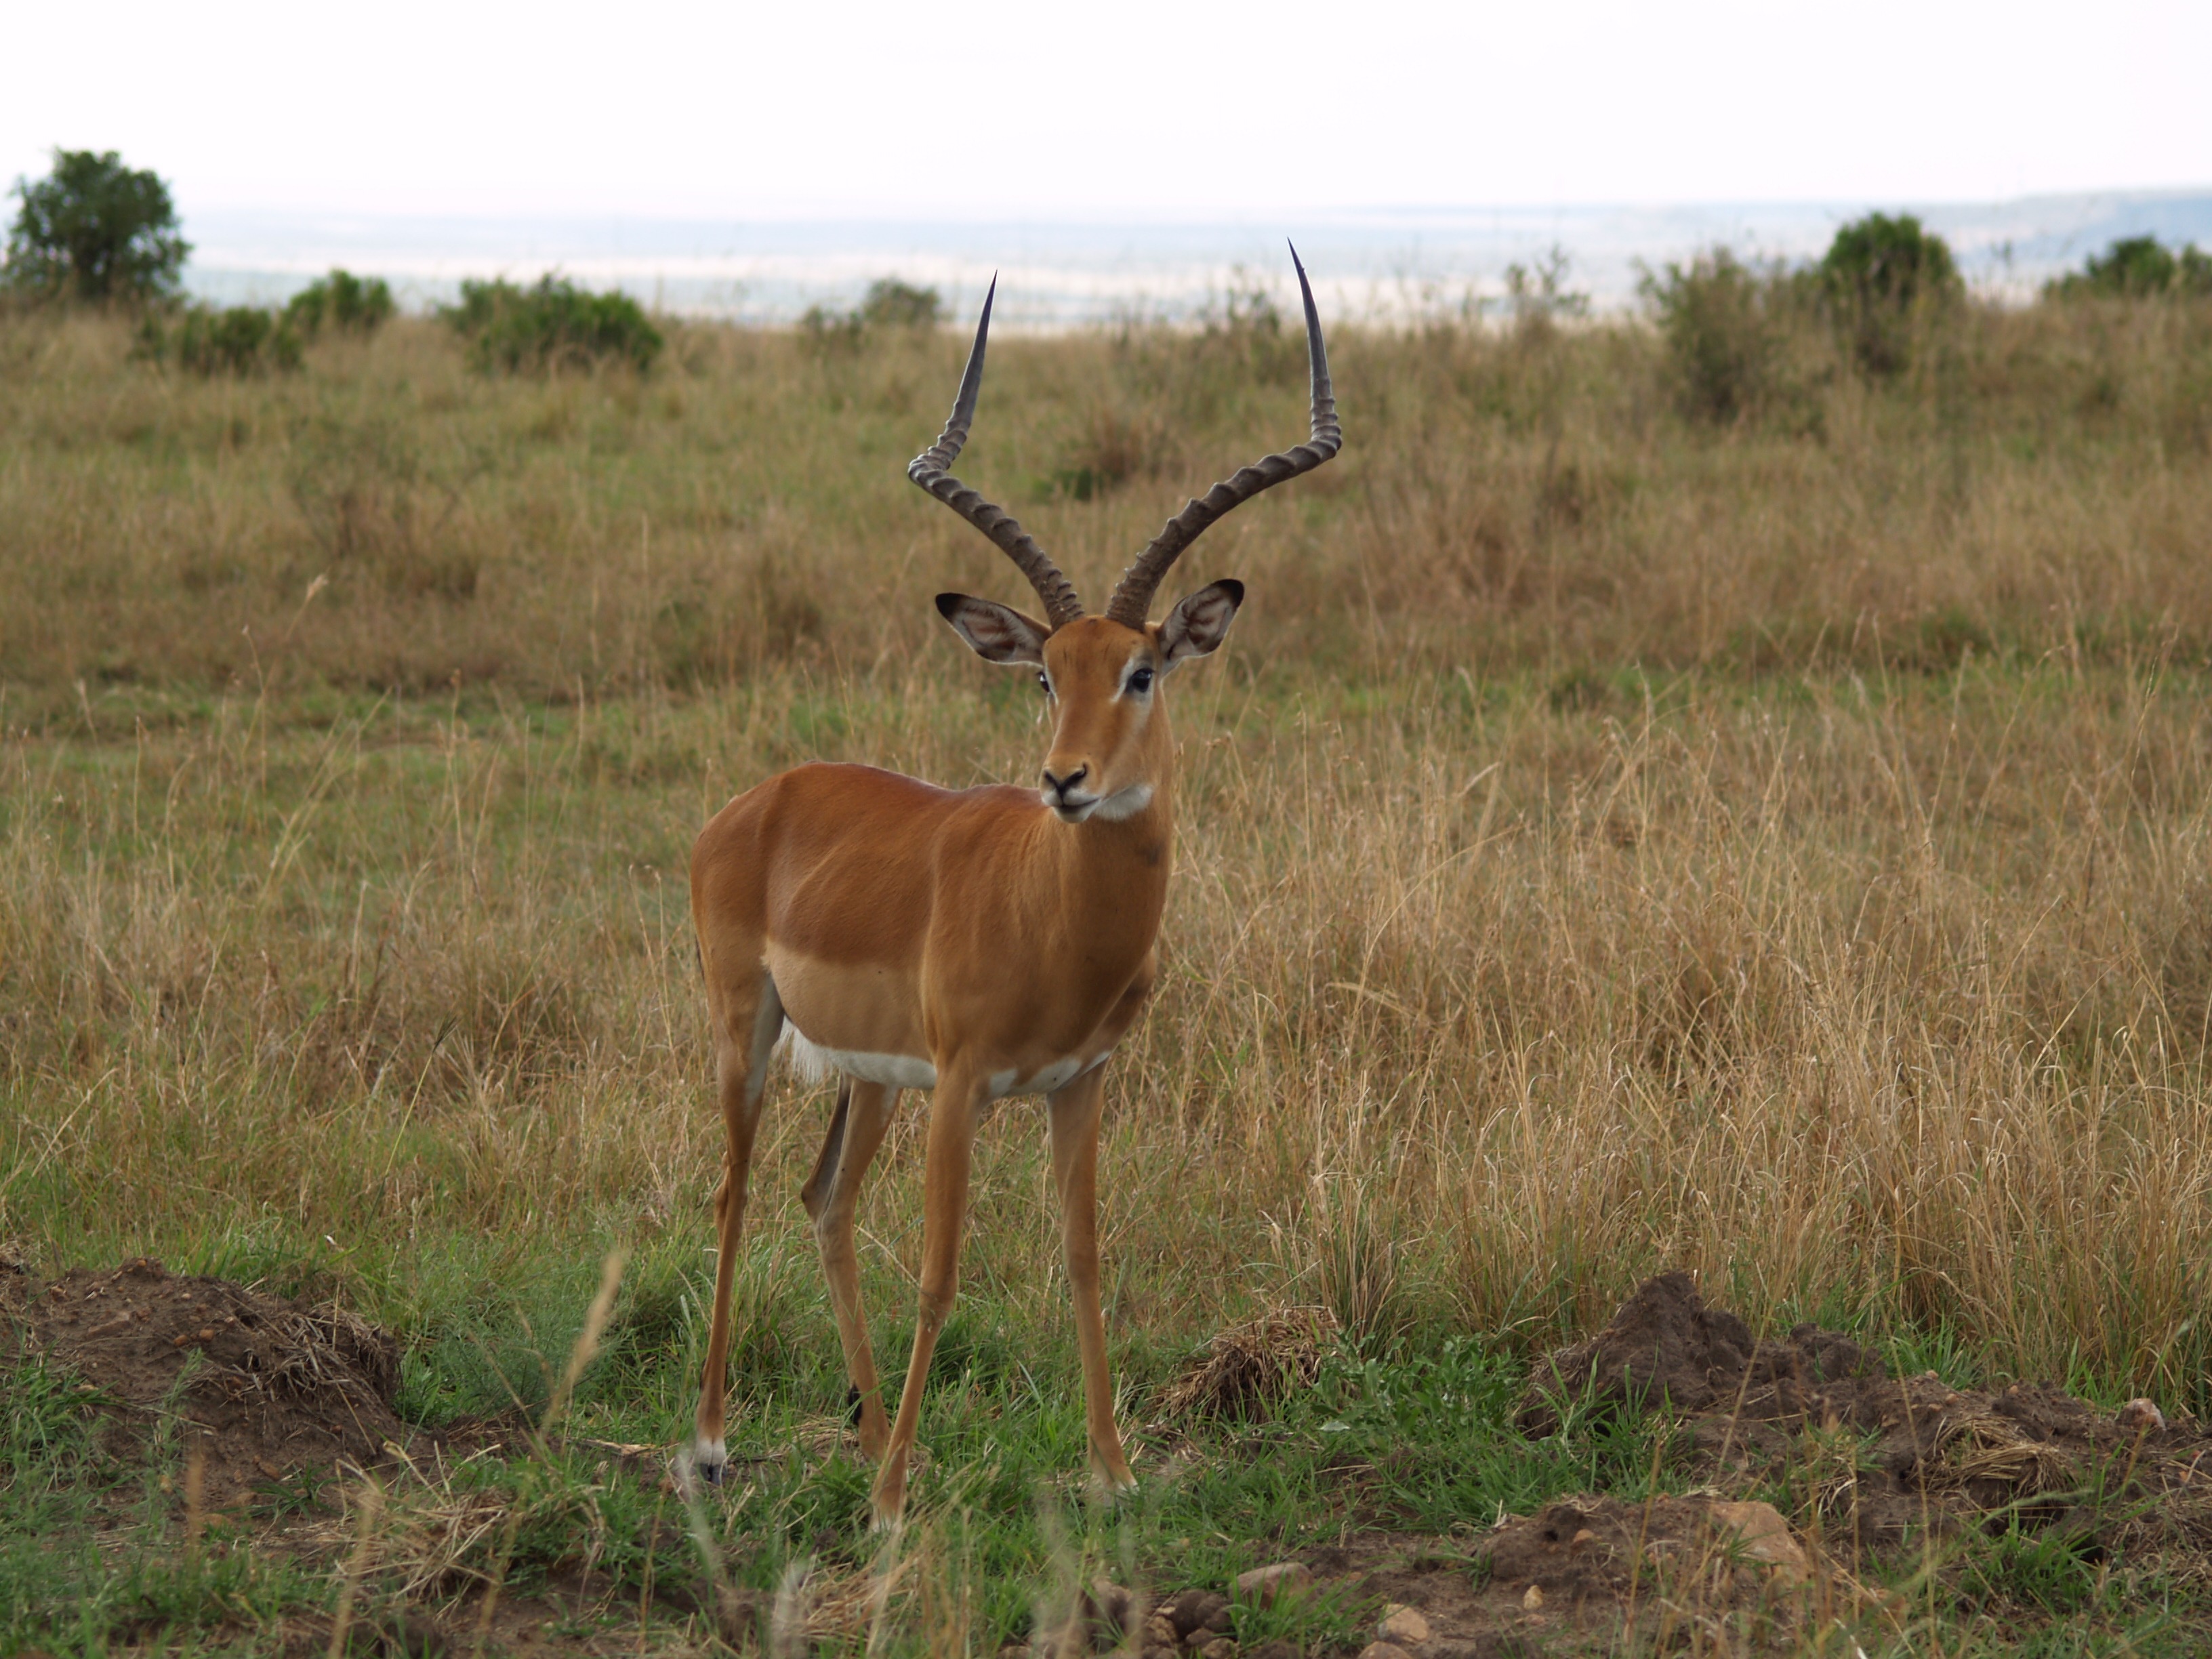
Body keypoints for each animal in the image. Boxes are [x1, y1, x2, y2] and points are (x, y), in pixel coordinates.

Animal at [685, 250, 1341, 1522]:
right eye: (1046, 672)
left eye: (1140, 670)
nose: (1064, 779)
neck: (1058, 924)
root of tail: (759, 798)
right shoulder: (964, 1084)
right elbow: (943, 1272)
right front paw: (896, 1505)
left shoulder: (1077, 1082)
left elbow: (1082, 1255)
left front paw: (1113, 1471)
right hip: (752, 1028)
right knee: (735, 1192)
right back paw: (716, 1446)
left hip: (867, 1076)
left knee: (823, 1201)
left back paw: (869, 1435)